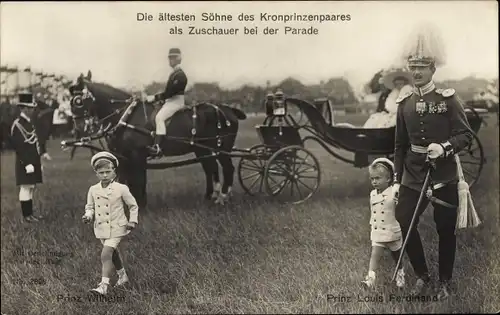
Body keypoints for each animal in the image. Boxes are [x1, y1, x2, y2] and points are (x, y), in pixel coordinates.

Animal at [66, 72, 246, 209]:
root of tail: (229, 109)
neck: (126, 115)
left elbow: (139, 180)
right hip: (202, 149)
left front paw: (141, 205)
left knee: (227, 168)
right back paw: (211, 197)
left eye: (78, 101)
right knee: (211, 169)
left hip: (222, 149)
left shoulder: (137, 155)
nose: (78, 128)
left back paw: (223, 197)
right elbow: (124, 180)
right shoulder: (123, 156)